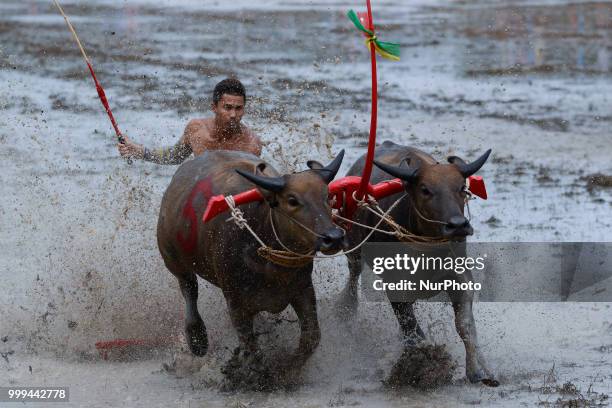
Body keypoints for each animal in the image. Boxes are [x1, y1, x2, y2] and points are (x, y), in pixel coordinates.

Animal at [159, 149, 344, 364]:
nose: (334, 237)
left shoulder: (303, 289)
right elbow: (252, 352)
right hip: (174, 261)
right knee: (189, 290)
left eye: (328, 196)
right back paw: (197, 338)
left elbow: (311, 338)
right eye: (292, 200)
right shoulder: (236, 304)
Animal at [340, 140, 498, 386]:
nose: (458, 225)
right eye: (425, 189)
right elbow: (413, 331)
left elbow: (465, 325)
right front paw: (423, 366)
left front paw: (478, 370)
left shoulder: (460, 278)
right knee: (353, 276)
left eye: (462, 187)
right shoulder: (395, 286)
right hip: (353, 249)